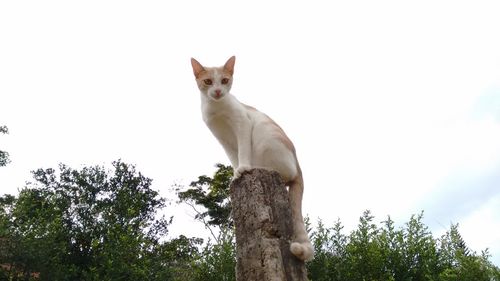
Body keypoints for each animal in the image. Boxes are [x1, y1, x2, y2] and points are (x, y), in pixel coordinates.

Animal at [189, 55, 314, 262]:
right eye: (208, 81)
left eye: (224, 80)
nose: (217, 90)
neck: (217, 109)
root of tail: (299, 167)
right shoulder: (223, 139)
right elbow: (234, 157)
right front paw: (236, 173)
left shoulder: (243, 125)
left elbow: (243, 151)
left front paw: (244, 168)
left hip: (265, 137)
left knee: (283, 174)